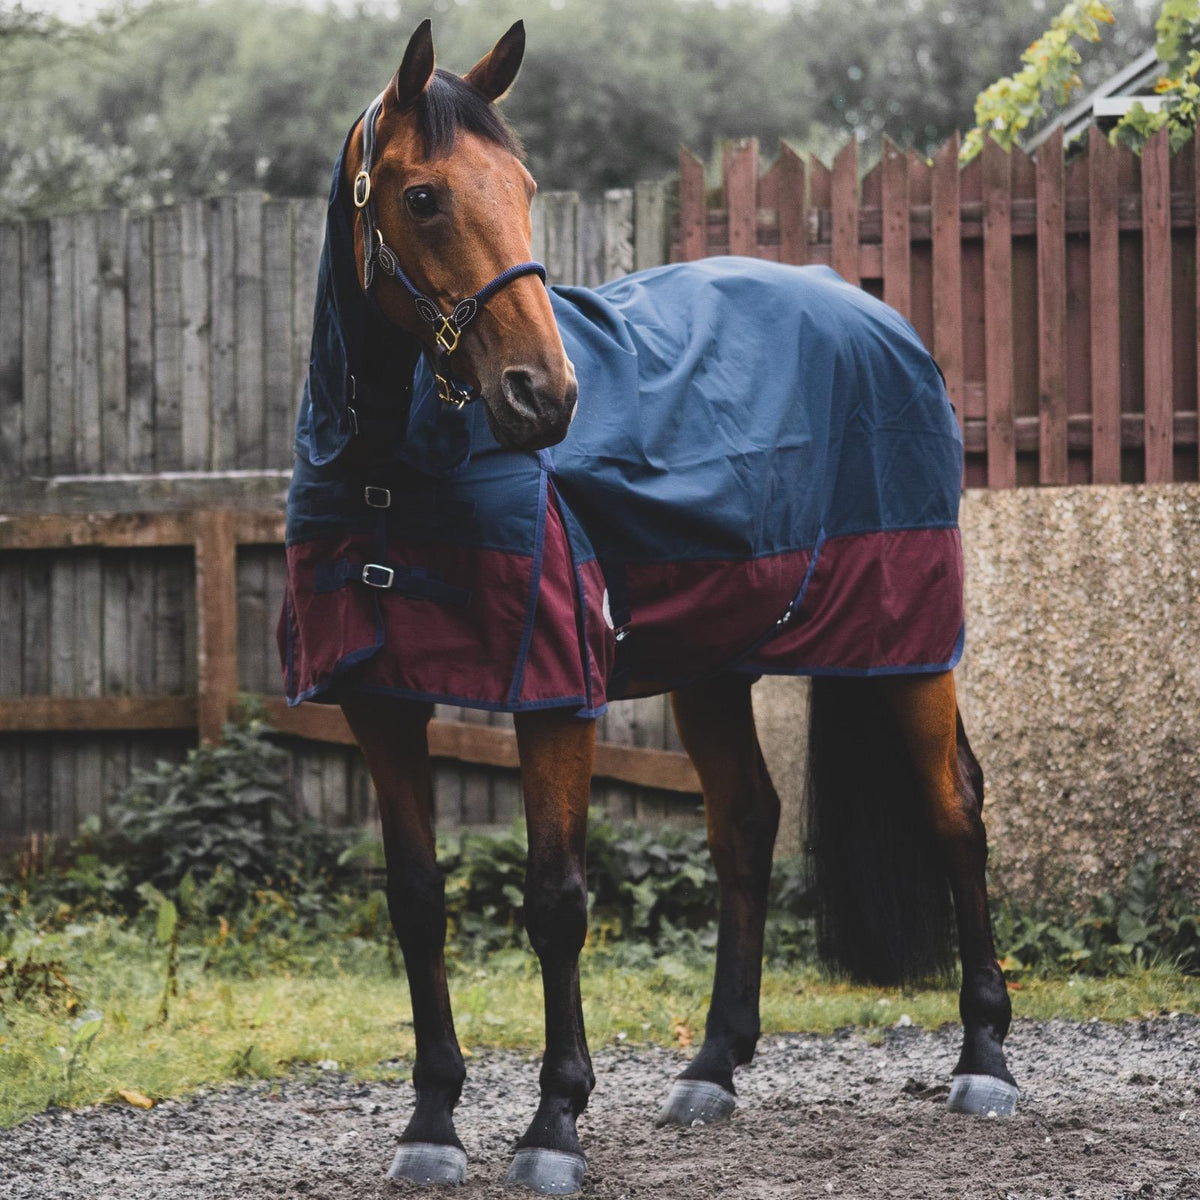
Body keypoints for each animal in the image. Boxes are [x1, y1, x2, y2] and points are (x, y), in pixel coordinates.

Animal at [277, 19, 1017, 1194]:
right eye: (424, 197)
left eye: (526, 187)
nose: (545, 397)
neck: (394, 471)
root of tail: (869, 310)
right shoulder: (380, 701)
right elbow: (417, 901)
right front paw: (431, 1122)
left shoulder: (554, 692)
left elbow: (555, 900)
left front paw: (553, 1125)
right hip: (715, 662)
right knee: (747, 824)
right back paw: (713, 1067)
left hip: (910, 644)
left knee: (955, 808)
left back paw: (985, 1058)